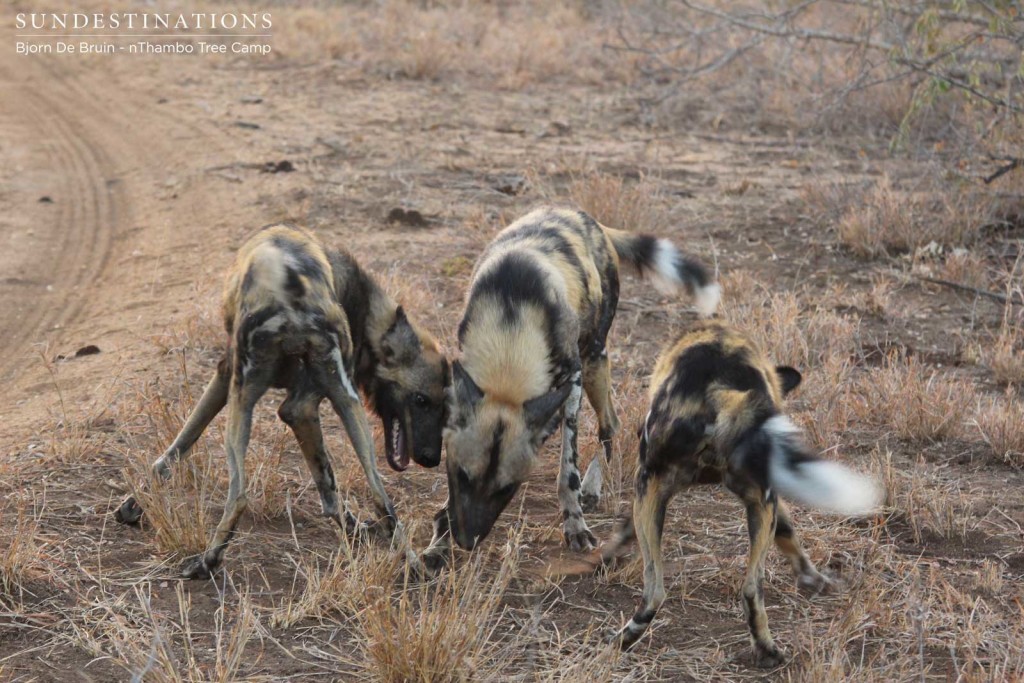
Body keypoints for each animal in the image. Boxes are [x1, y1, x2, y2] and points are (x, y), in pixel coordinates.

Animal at [113, 227, 448, 581]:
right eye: (422, 401)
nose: (430, 458)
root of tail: (293, 294)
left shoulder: (225, 376)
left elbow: (181, 443)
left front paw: (136, 502)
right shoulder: (301, 408)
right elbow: (329, 491)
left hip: (241, 398)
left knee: (239, 496)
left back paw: (207, 561)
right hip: (348, 406)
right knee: (381, 499)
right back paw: (415, 567)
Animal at [417, 205, 720, 569]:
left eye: (507, 489)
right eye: (462, 476)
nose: (467, 540)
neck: (510, 327)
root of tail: (582, 216)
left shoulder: (571, 383)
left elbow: (567, 472)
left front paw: (575, 523)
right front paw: (438, 541)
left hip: (594, 361)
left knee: (609, 425)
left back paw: (591, 486)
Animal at [606, 321, 880, 667]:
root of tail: (721, 389)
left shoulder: (646, 487)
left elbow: (624, 530)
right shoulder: (766, 497)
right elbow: (789, 535)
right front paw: (813, 580)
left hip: (648, 486)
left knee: (654, 589)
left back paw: (620, 640)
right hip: (760, 503)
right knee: (751, 588)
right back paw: (766, 649)